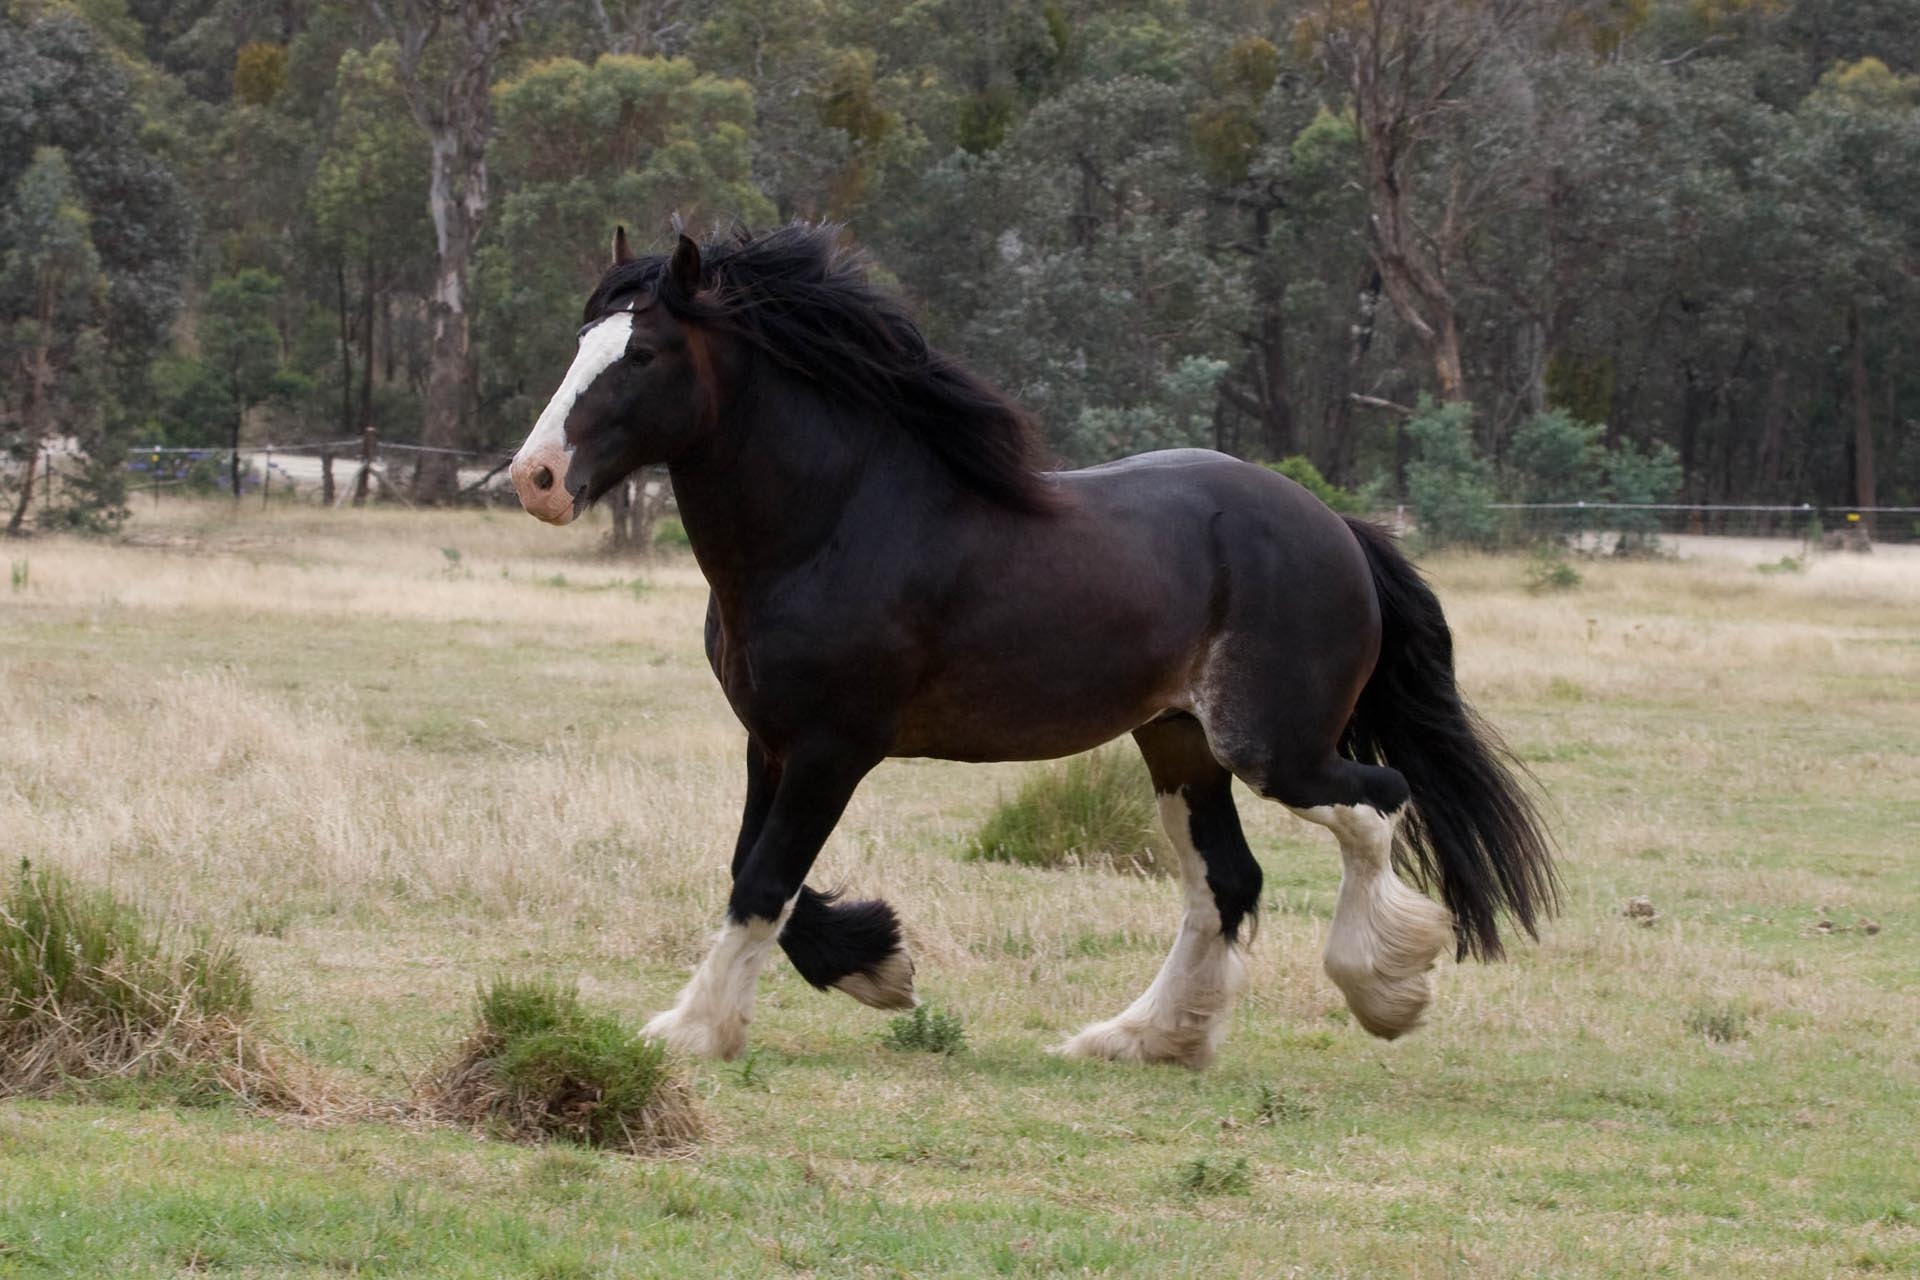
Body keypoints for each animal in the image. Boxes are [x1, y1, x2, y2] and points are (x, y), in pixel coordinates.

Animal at [507, 223, 1557, 1069]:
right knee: (1225, 882)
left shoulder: (834, 748)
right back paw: (1144, 1039)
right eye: (580, 343)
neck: (834, 525)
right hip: (1179, 744)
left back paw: (1384, 989)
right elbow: (755, 874)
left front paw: (693, 1030)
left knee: (1376, 802)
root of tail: (1338, 527)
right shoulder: (771, 741)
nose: (537, 478)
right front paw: (876, 964)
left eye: (644, 352)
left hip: (1275, 749)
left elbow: (765, 876)